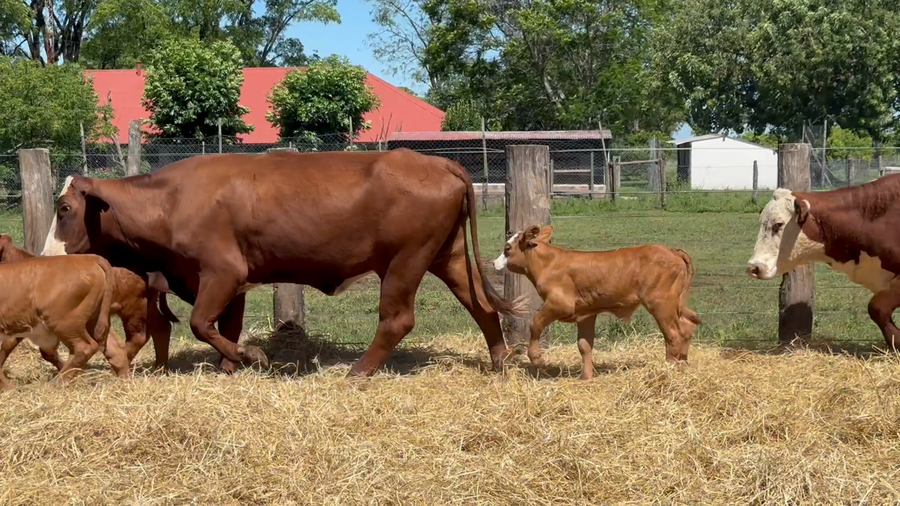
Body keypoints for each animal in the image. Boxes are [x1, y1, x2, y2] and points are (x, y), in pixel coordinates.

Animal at [0, 254, 124, 389]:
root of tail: (89, 257)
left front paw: (7, 387)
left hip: (64, 322)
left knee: (84, 347)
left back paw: (55, 384)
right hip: (92, 320)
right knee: (113, 348)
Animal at [42, 150, 528, 376]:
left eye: (64, 208)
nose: (47, 256)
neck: (170, 199)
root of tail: (436, 161)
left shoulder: (221, 272)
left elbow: (202, 323)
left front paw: (251, 355)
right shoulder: (233, 282)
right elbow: (225, 325)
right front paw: (229, 366)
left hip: (405, 260)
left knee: (397, 319)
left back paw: (358, 371)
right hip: (446, 255)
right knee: (482, 305)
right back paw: (500, 360)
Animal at [492, 225, 702, 379]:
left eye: (507, 248)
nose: (494, 263)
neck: (549, 263)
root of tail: (672, 251)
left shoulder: (559, 304)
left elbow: (534, 323)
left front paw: (537, 358)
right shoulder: (586, 313)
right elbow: (584, 345)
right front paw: (586, 378)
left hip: (661, 304)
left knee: (674, 335)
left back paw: (670, 370)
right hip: (675, 304)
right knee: (687, 327)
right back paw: (683, 365)